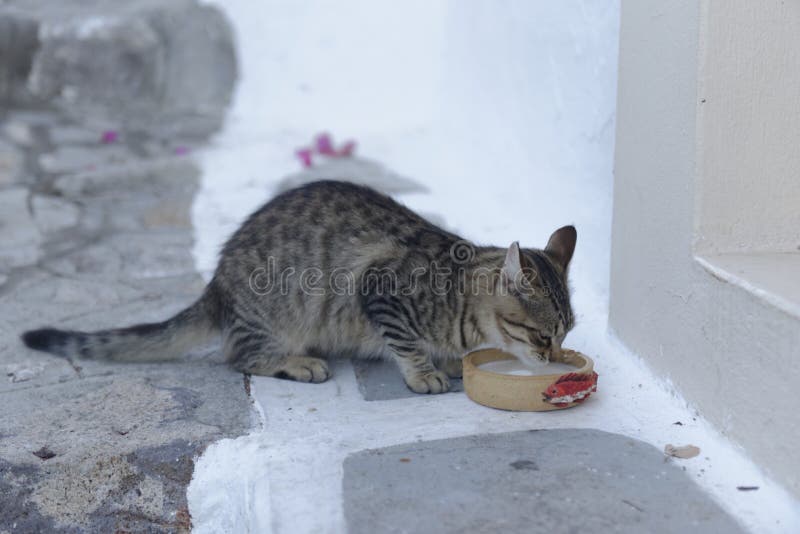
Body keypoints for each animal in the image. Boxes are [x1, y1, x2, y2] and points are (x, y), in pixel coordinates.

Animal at [23, 182, 576, 396]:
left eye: (567, 333)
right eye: (543, 336)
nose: (556, 359)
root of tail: (217, 283)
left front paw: (446, 361)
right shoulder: (379, 289)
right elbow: (406, 342)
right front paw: (424, 372)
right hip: (278, 314)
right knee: (238, 356)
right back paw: (299, 363)